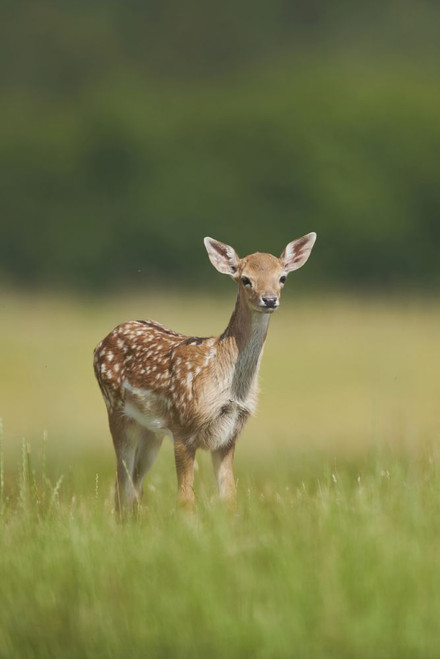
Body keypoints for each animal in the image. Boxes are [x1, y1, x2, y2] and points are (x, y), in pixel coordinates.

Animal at [93, 233, 316, 515]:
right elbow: (185, 500)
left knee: (133, 485)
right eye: (245, 279)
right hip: (116, 411)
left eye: (282, 277)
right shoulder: (183, 427)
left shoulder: (229, 435)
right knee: (122, 485)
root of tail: (102, 342)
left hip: (151, 430)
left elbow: (229, 497)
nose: (269, 299)